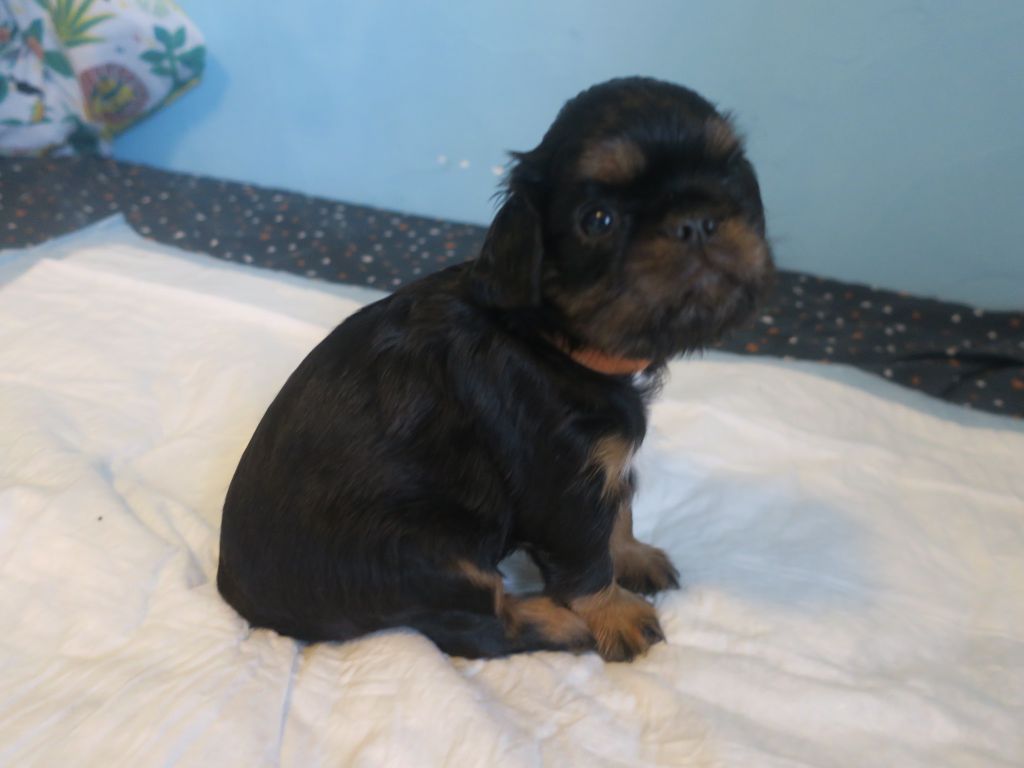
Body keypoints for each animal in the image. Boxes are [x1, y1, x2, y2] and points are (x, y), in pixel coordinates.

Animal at [217, 77, 774, 661]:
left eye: (732, 178)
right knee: (473, 629)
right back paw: (559, 623)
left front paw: (633, 555)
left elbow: (619, 508)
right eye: (598, 220)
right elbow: (587, 561)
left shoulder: (601, 466)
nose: (696, 223)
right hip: (430, 555)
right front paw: (615, 614)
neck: (555, 339)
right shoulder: (562, 488)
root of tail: (242, 597)